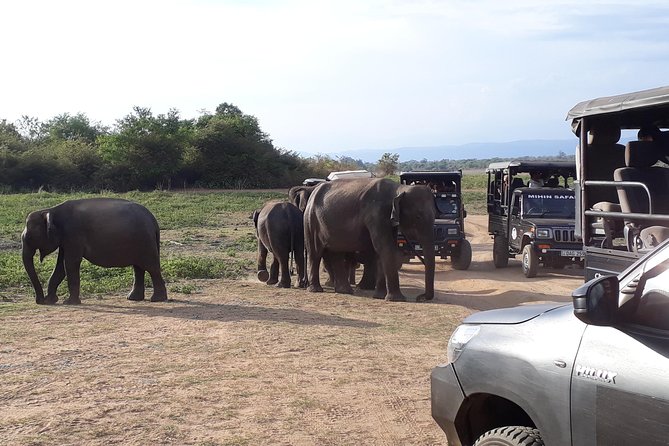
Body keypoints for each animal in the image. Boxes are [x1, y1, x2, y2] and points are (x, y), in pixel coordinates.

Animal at [21, 198, 167, 304]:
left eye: (29, 237)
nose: (40, 301)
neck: (51, 210)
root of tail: (153, 220)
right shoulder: (66, 240)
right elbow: (60, 266)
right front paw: (52, 301)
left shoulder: (73, 235)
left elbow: (70, 263)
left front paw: (69, 302)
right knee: (138, 268)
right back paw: (133, 298)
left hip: (145, 242)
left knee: (151, 267)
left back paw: (157, 299)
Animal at [304, 177, 438, 300]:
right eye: (418, 216)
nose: (421, 297)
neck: (399, 189)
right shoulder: (376, 214)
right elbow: (385, 247)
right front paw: (396, 299)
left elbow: (384, 249)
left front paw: (379, 296)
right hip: (311, 220)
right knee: (315, 252)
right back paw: (316, 290)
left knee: (336, 253)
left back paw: (345, 291)